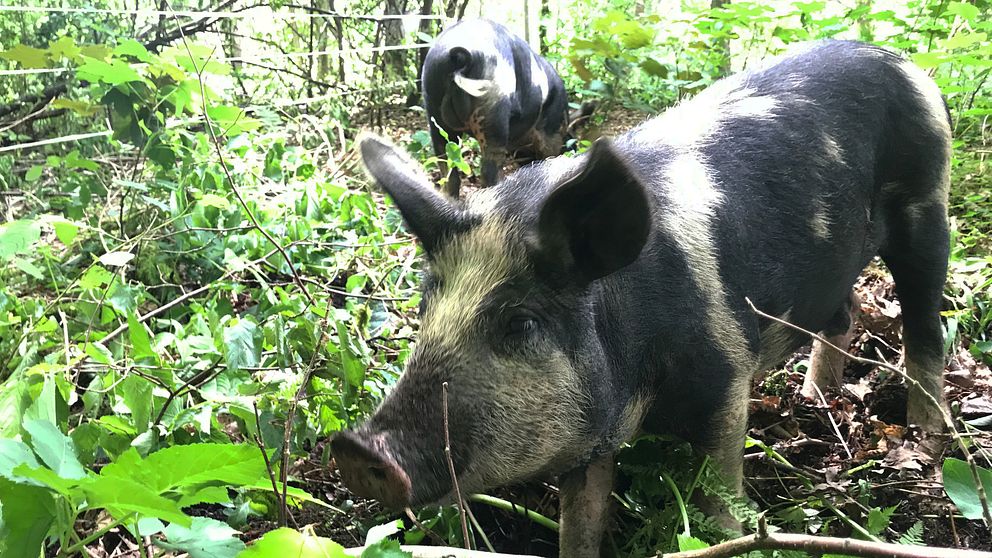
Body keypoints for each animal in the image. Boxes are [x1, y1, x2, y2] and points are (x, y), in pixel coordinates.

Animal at [336, 41, 952, 556]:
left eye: (522, 322)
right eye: (425, 307)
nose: (358, 447)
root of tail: (899, 60)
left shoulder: (726, 376)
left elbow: (715, 496)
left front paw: (728, 534)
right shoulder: (590, 435)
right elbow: (580, 522)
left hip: (927, 206)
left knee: (925, 324)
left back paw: (927, 436)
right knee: (845, 314)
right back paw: (813, 399)